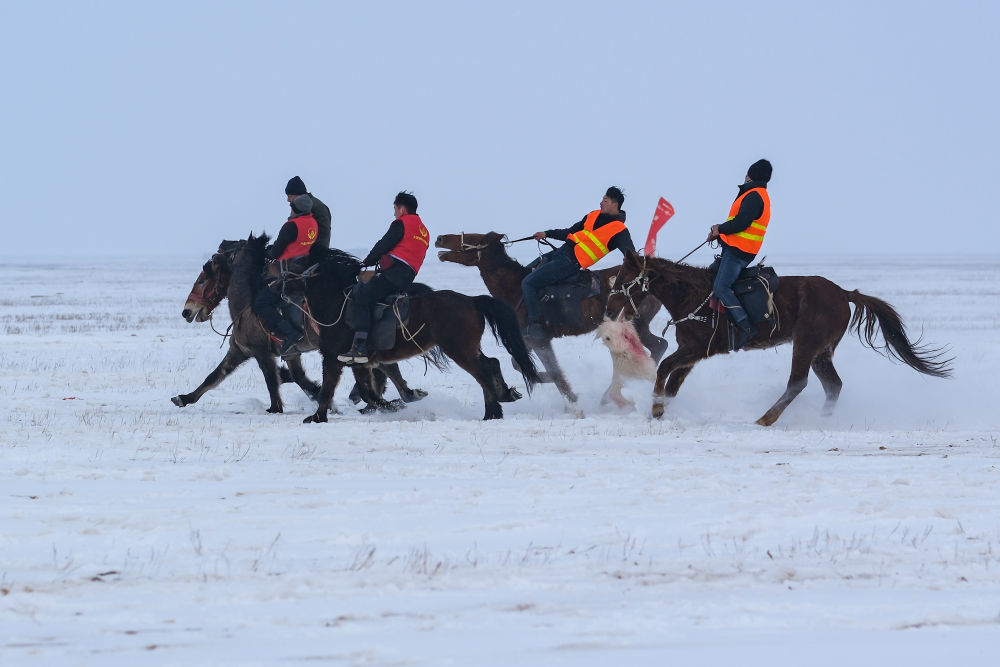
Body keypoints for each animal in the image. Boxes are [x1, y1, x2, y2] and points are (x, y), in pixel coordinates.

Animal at [176, 237, 426, 414]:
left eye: (202, 280)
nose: (187, 311)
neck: (248, 304)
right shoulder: (251, 351)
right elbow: (214, 376)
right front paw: (184, 398)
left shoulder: (262, 352)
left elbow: (272, 381)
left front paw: (277, 407)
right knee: (386, 369)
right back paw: (403, 396)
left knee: (383, 369)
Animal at [288, 236, 540, 422]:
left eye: (295, 262)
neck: (337, 302)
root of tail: (471, 300)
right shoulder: (358, 362)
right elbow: (368, 392)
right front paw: (394, 403)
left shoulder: (332, 357)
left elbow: (328, 388)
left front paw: (316, 417)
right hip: (466, 348)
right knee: (491, 365)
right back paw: (501, 400)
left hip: (459, 349)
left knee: (484, 371)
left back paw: (493, 410)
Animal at [434, 232, 668, 404]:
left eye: (474, 239)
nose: (440, 238)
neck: (516, 288)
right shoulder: (528, 339)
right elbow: (521, 365)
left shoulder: (539, 339)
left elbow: (552, 371)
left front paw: (572, 398)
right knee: (659, 345)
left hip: (636, 323)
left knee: (657, 346)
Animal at [608, 250, 952, 428]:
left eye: (624, 278)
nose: (610, 307)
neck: (691, 294)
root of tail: (843, 293)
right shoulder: (692, 353)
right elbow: (674, 381)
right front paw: (665, 408)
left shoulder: (695, 349)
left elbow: (665, 368)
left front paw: (657, 409)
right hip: (821, 351)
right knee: (833, 385)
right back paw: (823, 420)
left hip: (806, 344)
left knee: (798, 382)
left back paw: (766, 418)